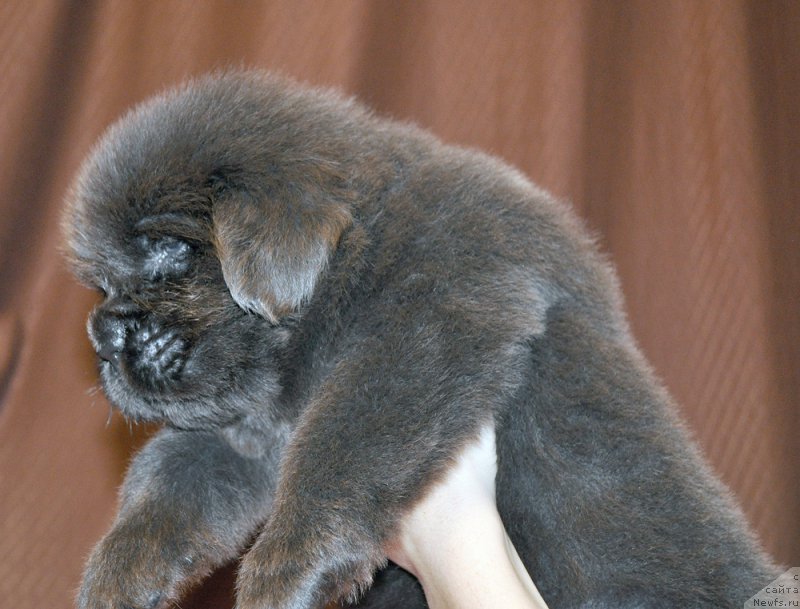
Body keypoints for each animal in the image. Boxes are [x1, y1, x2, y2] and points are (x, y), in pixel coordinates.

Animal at [65, 72, 780, 608]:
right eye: (101, 285)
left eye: (171, 250)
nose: (103, 331)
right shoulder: (242, 440)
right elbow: (164, 491)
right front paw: (116, 579)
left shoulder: (426, 329)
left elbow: (339, 450)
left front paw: (283, 574)